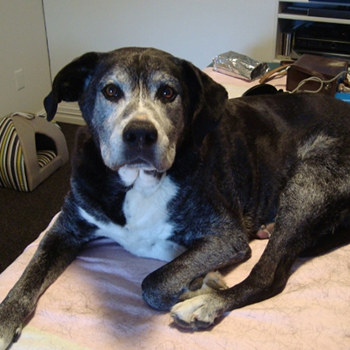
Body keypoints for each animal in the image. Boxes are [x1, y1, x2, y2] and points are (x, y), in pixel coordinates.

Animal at [0, 46, 350, 348]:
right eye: (110, 91)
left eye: (168, 92)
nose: (140, 134)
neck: (138, 182)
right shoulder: (65, 229)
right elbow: (27, 277)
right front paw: (4, 321)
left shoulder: (226, 236)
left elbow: (153, 283)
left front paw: (192, 284)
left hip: (311, 178)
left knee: (269, 277)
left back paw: (205, 301)